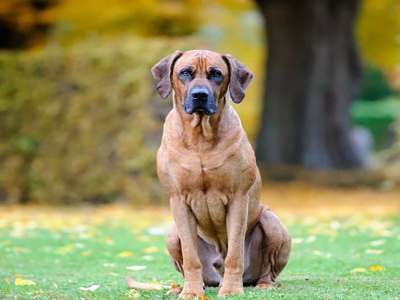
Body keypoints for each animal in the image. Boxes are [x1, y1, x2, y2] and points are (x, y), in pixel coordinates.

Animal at [152, 49, 292, 298]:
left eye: (216, 74)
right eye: (185, 72)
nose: (199, 95)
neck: (201, 137)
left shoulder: (238, 198)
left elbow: (235, 253)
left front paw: (232, 290)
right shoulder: (178, 200)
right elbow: (191, 257)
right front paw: (190, 291)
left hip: (271, 221)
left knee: (268, 268)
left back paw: (262, 284)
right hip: (172, 233)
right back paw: (186, 286)